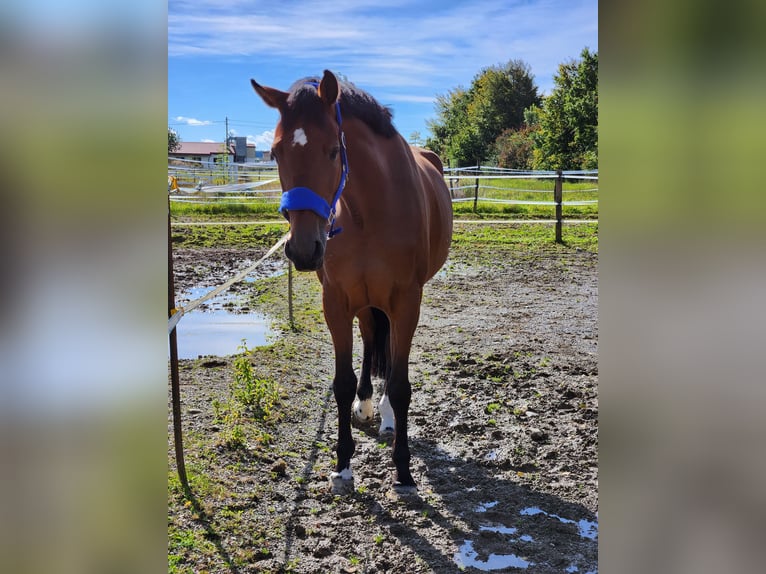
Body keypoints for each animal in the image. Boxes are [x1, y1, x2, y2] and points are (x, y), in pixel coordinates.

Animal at [251, 70, 453, 490]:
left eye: (332, 150)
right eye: (275, 153)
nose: (303, 248)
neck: (367, 212)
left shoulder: (406, 301)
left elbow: (400, 384)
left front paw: (403, 469)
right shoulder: (337, 302)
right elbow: (342, 383)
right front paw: (343, 464)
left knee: (388, 354)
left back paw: (387, 417)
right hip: (364, 301)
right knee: (372, 339)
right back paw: (367, 404)